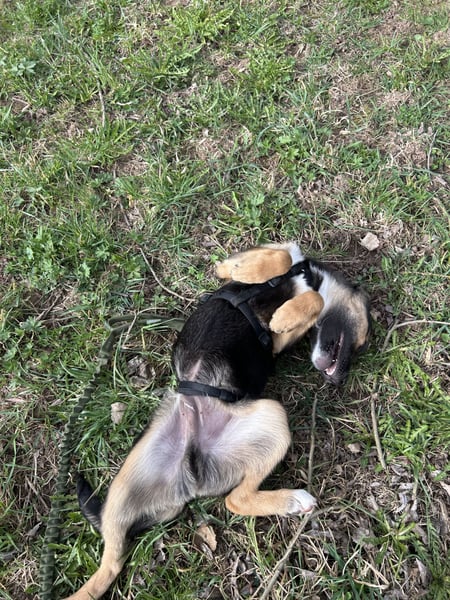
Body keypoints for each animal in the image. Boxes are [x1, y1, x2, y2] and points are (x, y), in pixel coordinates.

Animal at [63, 242, 370, 599]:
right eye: (360, 343)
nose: (339, 380)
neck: (309, 277)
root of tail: (192, 468)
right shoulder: (241, 262)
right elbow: (275, 259)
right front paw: (252, 274)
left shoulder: (279, 342)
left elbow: (311, 302)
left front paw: (285, 313)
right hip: (126, 483)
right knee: (112, 556)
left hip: (271, 416)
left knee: (235, 500)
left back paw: (293, 501)